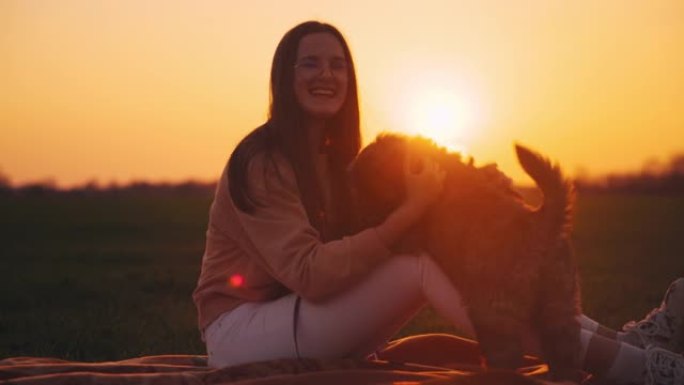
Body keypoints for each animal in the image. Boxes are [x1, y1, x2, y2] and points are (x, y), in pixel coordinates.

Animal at [350, 134, 580, 380]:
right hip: (560, 301)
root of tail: (539, 224)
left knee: (507, 354)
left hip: (492, 311)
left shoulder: (411, 233)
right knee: (564, 350)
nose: (361, 220)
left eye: (365, 189)